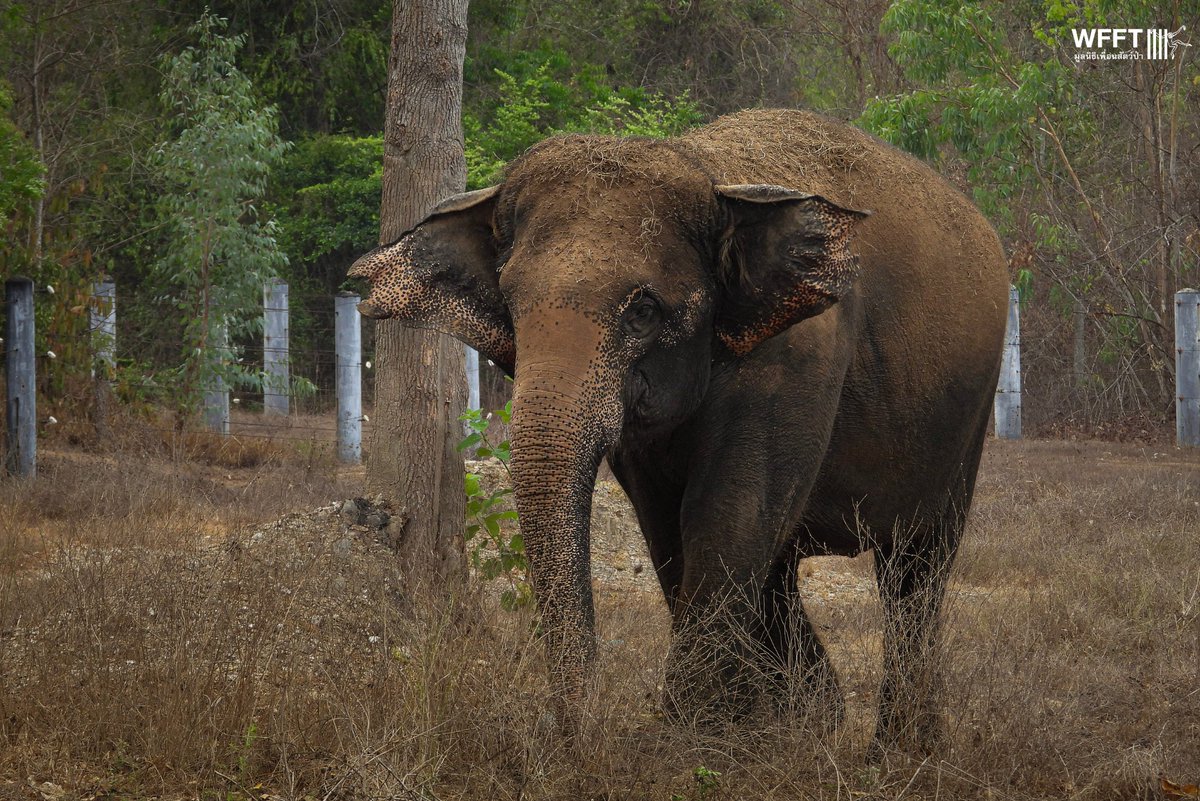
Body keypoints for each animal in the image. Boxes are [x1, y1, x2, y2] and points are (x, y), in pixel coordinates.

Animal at [349, 108, 1008, 753]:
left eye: (643, 310)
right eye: (510, 306)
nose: (578, 736)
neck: (707, 172)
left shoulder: (798, 358)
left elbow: (728, 512)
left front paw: (689, 743)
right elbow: (668, 527)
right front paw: (739, 735)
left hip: (967, 419)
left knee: (915, 569)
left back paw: (901, 750)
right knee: (782, 570)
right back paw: (815, 726)